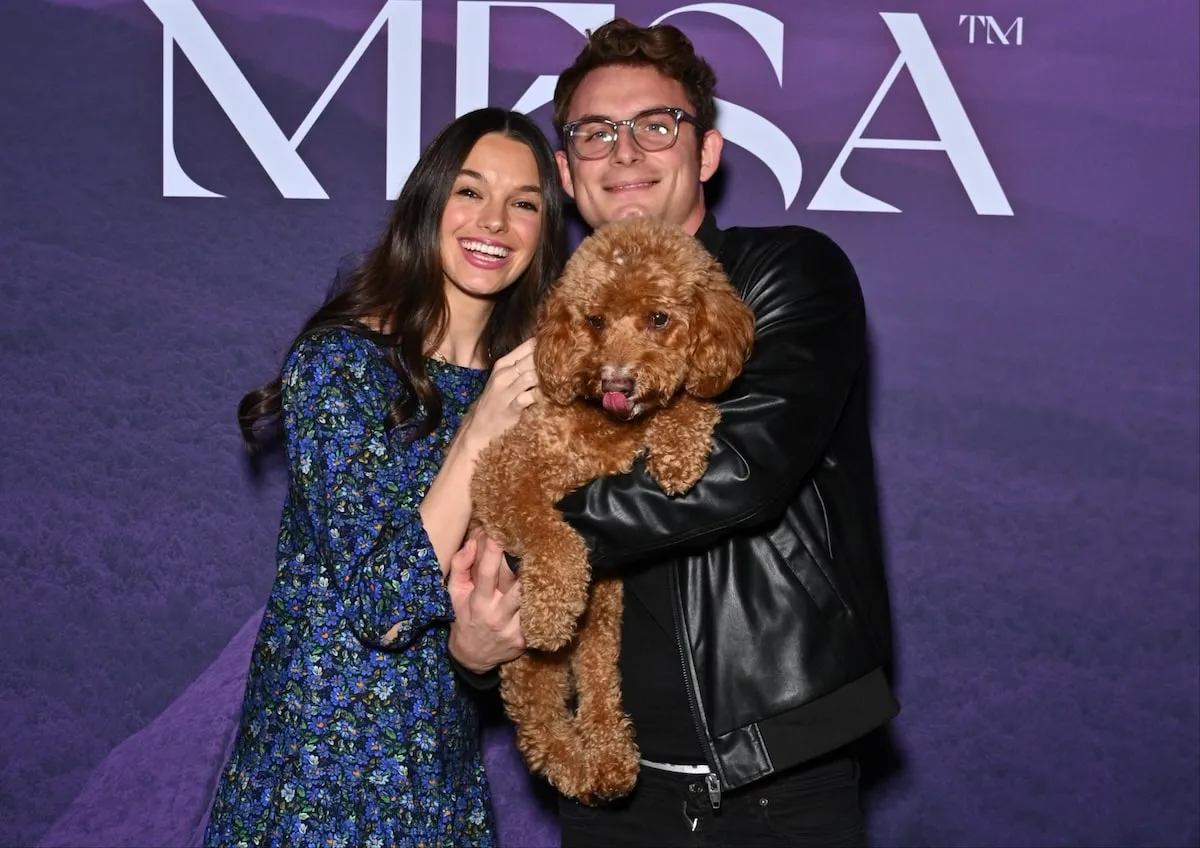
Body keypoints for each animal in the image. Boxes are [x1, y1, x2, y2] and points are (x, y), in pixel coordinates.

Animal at [468, 215, 748, 806]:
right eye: (594, 321)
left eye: (658, 318)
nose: (616, 381)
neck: (603, 425)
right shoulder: (503, 475)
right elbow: (550, 534)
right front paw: (551, 610)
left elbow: (691, 400)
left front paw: (679, 451)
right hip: (532, 660)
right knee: (539, 722)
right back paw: (579, 766)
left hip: (603, 624)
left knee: (598, 689)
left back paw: (611, 757)